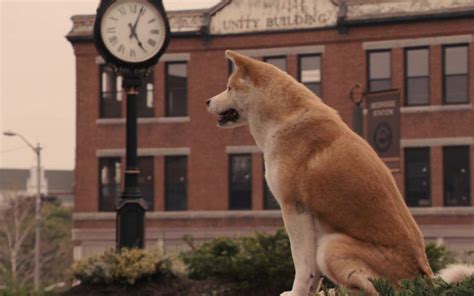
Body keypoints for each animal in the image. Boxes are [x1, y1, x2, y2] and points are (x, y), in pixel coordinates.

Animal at [206, 49, 472, 294]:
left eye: (228, 88)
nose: (207, 101)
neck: (282, 118)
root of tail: (426, 279)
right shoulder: (312, 217)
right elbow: (312, 271)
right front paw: (311, 291)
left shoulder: (294, 209)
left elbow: (302, 265)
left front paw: (297, 292)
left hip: (332, 245)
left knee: (374, 289)